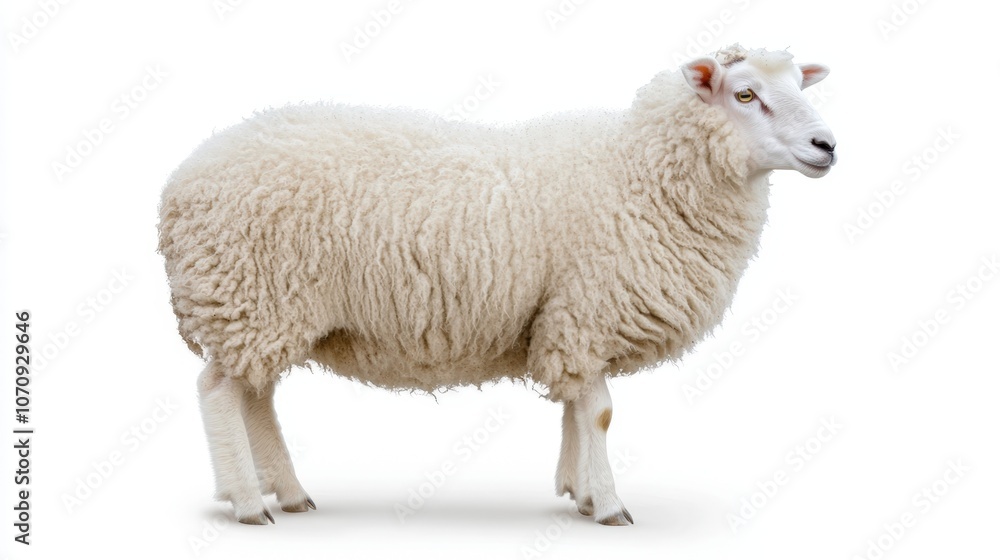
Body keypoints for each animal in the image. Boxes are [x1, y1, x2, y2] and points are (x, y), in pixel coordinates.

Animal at [157, 44, 836, 526]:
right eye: (745, 93)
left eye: (798, 86)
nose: (827, 145)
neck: (641, 171)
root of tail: (181, 181)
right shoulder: (585, 310)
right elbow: (600, 413)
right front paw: (609, 504)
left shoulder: (562, 316)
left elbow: (575, 408)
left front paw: (577, 491)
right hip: (250, 293)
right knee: (219, 394)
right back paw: (250, 504)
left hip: (266, 309)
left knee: (256, 395)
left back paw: (289, 492)